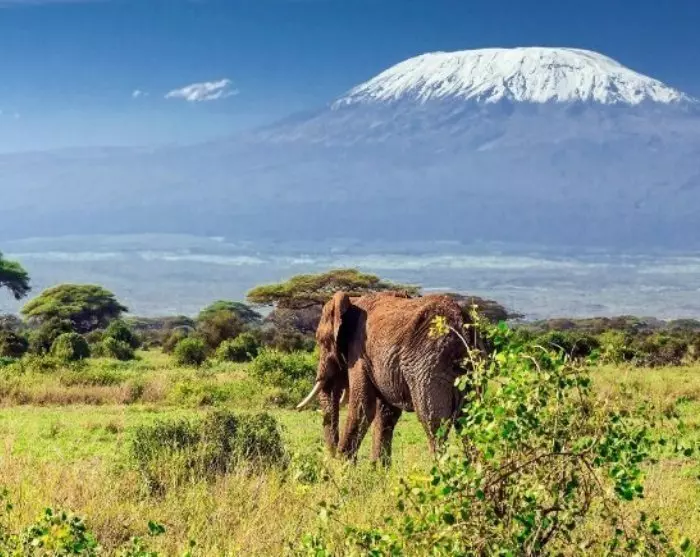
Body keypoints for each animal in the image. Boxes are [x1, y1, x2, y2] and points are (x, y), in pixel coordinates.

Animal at [296, 290, 477, 465]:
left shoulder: (359, 352)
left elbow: (362, 407)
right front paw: (379, 470)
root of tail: (461, 325)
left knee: (433, 422)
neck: (353, 300)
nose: (331, 459)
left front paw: (343, 467)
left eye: (322, 341)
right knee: (470, 419)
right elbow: (386, 413)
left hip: (429, 366)